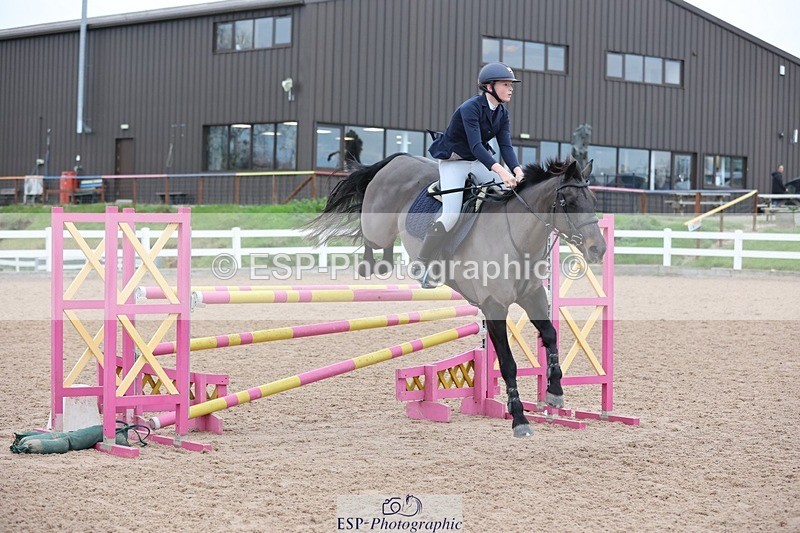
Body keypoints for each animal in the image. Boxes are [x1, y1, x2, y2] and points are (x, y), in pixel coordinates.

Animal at [307, 153, 605, 437]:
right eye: (569, 202)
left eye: (593, 200)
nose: (598, 249)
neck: (516, 239)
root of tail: (399, 159)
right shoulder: (494, 307)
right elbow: (508, 364)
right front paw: (519, 419)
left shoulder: (533, 297)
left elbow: (551, 336)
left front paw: (555, 393)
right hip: (377, 227)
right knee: (373, 241)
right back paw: (377, 266)